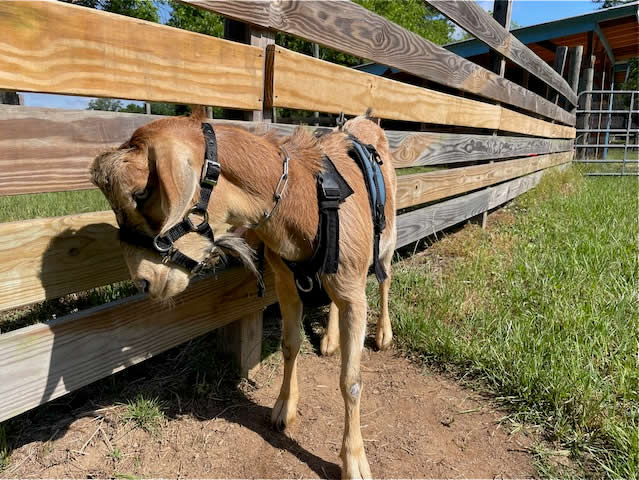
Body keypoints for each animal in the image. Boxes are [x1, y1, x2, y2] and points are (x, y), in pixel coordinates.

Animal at [90, 110, 398, 478]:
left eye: (141, 193)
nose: (144, 282)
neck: (304, 199)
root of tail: (363, 120)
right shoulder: (287, 283)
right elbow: (290, 346)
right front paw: (283, 409)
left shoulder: (352, 292)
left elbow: (350, 381)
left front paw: (354, 461)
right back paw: (329, 340)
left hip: (387, 237)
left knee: (384, 278)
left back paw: (383, 334)